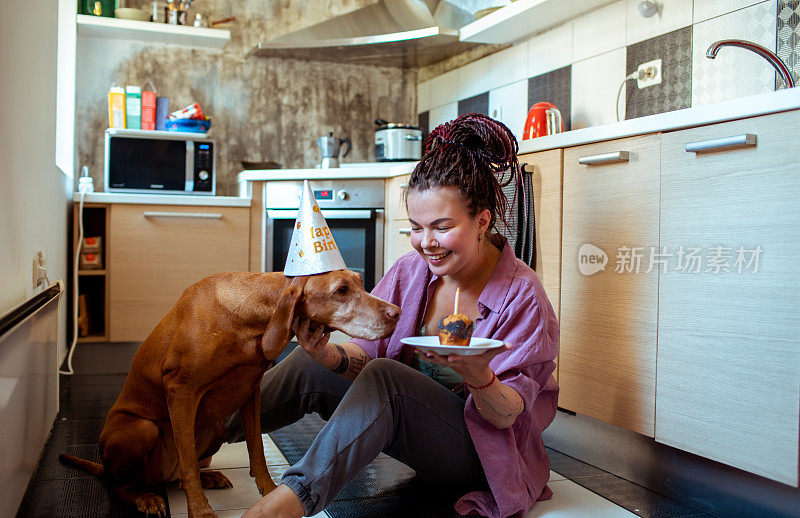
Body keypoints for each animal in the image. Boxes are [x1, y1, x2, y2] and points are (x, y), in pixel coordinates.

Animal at [57, 272, 400, 518]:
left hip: (216, 428)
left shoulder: (250, 391)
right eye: (341, 289)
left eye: (360, 281)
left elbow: (257, 451)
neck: (248, 319)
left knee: (175, 475)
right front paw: (200, 511)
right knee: (121, 482)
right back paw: (145, 498)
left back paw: (207, 477)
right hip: (141, 429)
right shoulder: (180, 391)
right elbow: (188, 464)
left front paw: (269, 491)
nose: (396, 312)